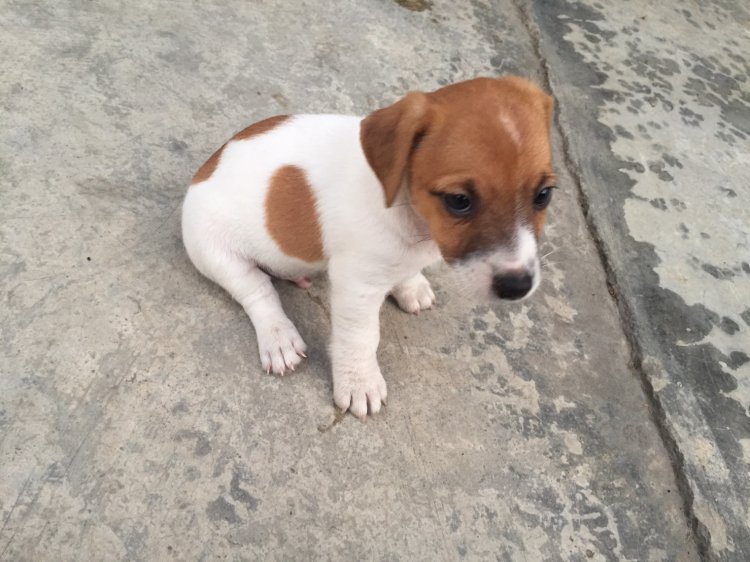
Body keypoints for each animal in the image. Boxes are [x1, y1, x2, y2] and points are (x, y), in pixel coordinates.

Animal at [182, 76, 555, 418]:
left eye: (543, 195)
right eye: (459, 200)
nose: (517, 286)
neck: (409, 212)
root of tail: (206, 168)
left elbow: (406, 272)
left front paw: (411, 286)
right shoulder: (357, 285)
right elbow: (360, 338)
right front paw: (359, 382)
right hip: (215, 253)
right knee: (257, 291)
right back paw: (278, 337)